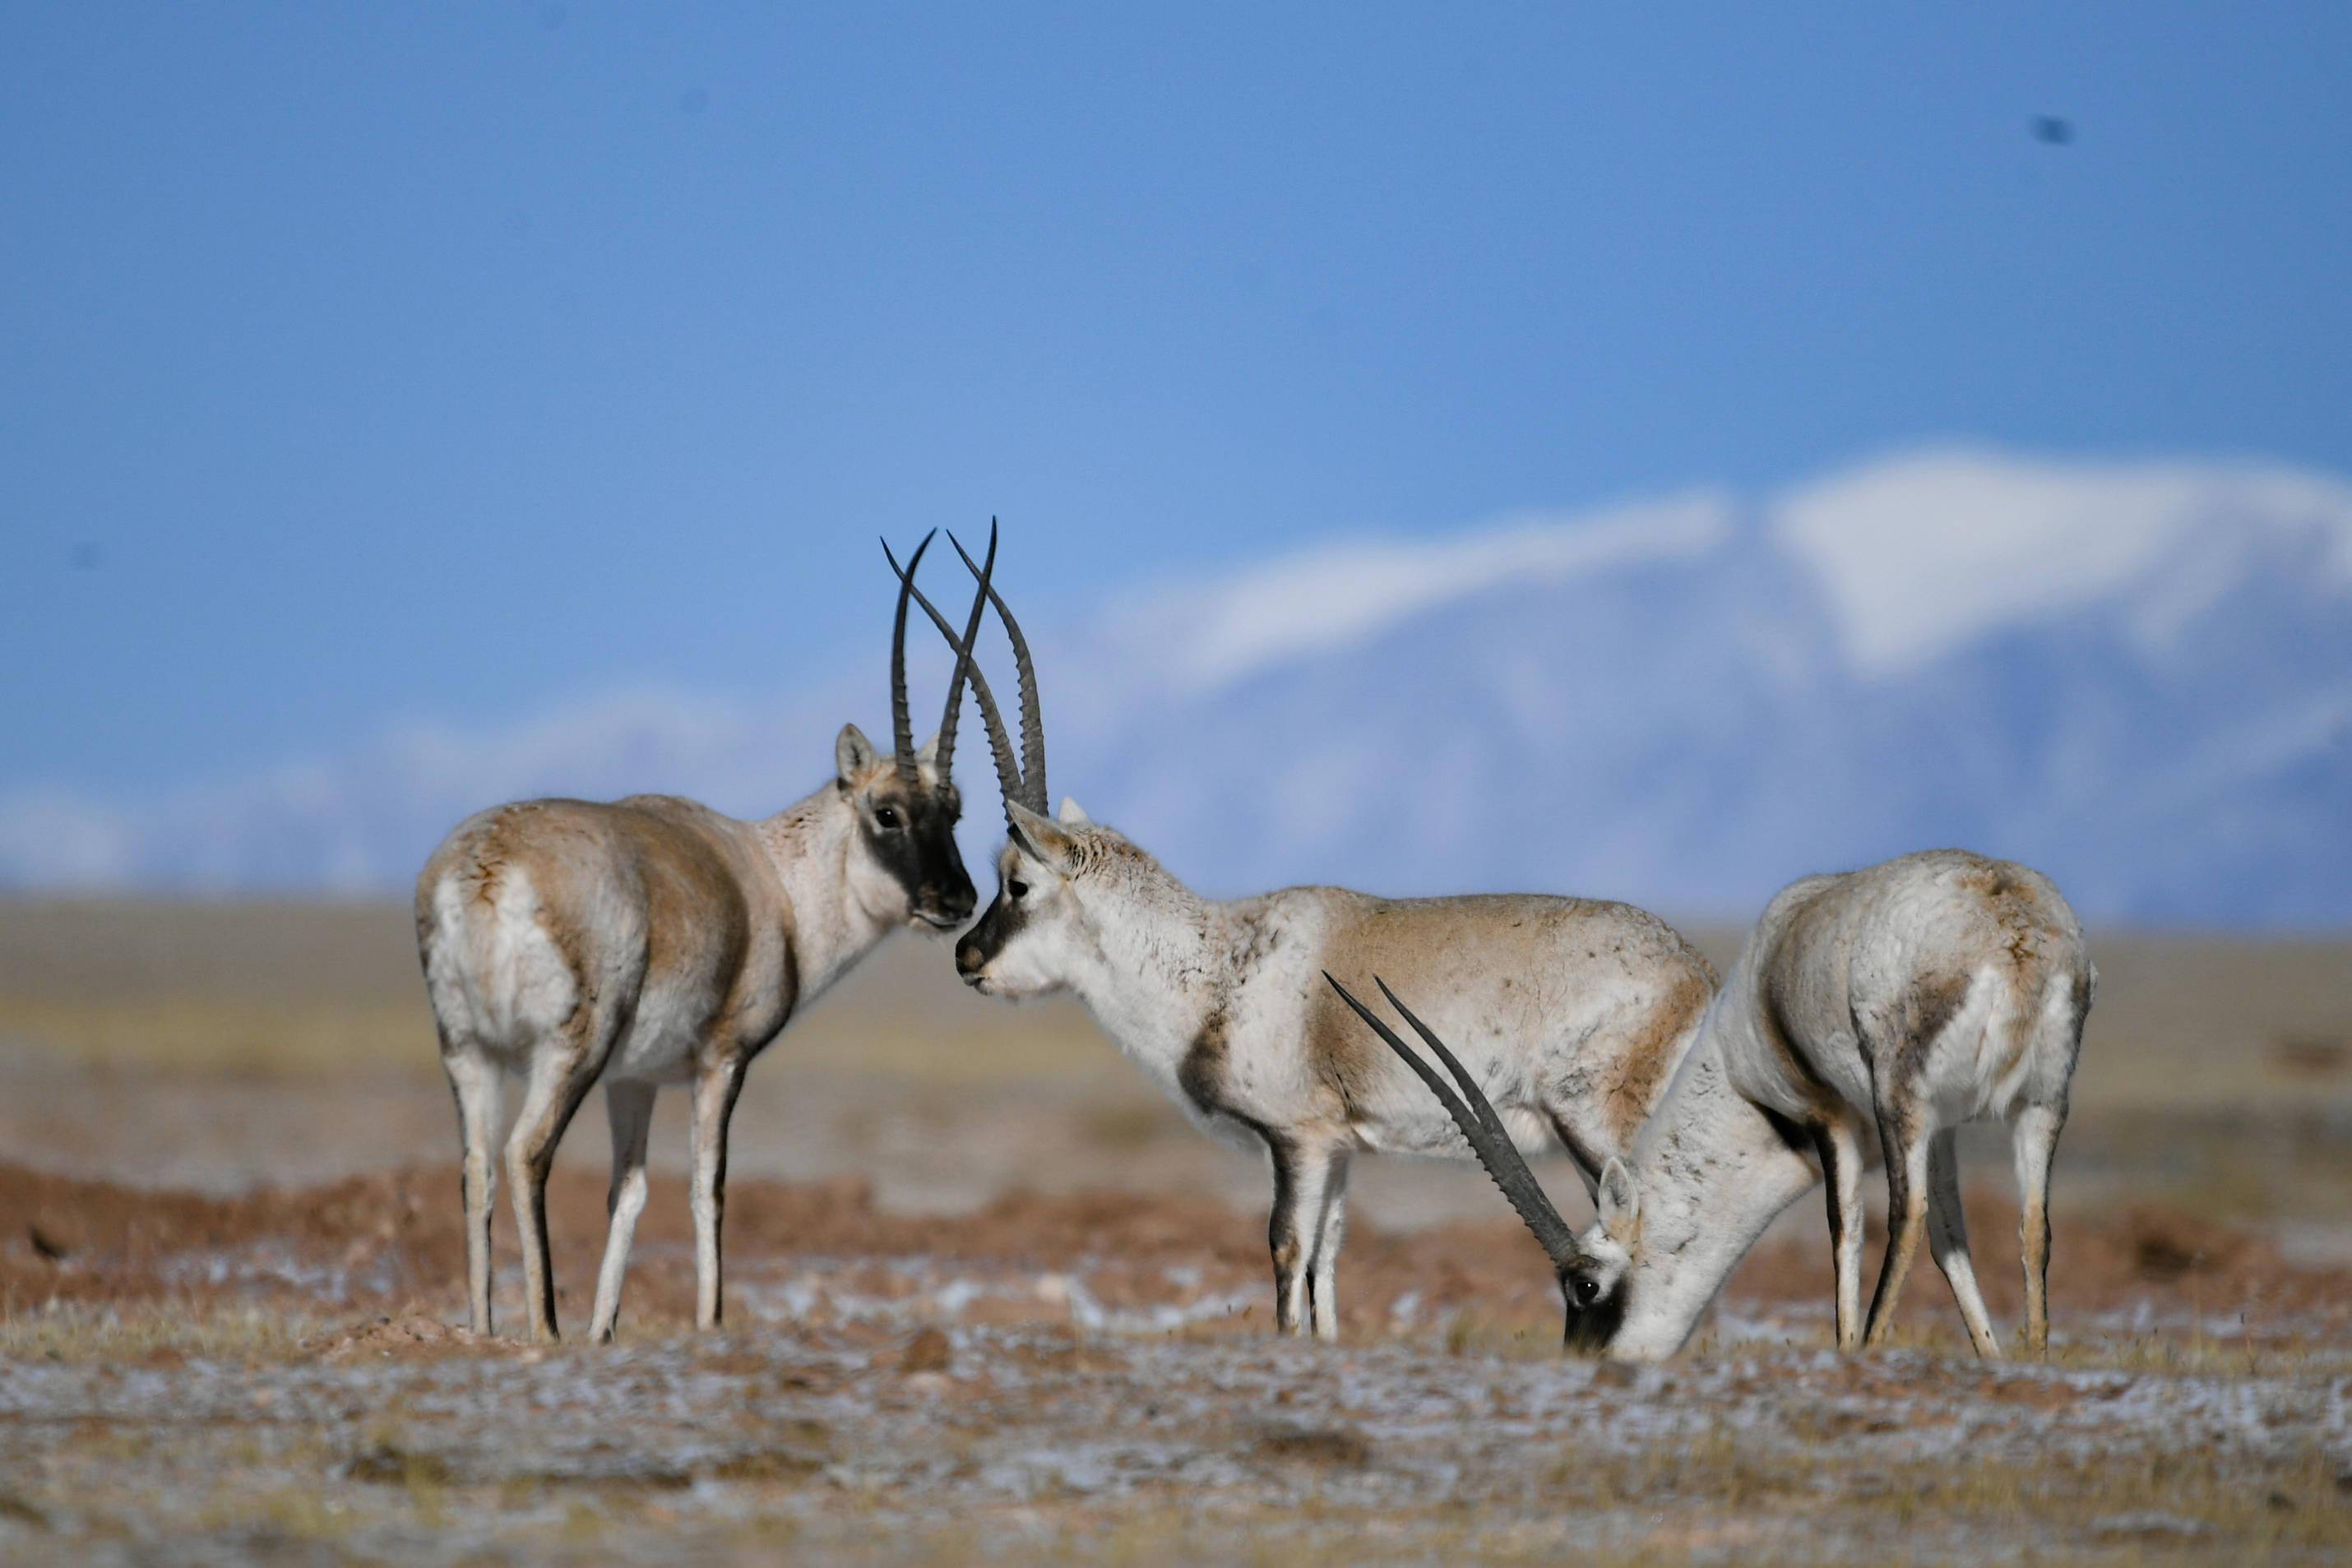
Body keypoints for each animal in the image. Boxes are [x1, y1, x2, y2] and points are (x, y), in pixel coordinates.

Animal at [419, 534, 997, 1344]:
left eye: (955, 810)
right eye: (886, 811)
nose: (959, 901)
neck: (774, 879)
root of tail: (488, 864)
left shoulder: (632, 1079)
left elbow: (628, 1192)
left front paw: (605, 1330)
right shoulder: (722, 1062)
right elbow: (707, 1186)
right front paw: (709, 1322)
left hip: (469, 1051)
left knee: (476, 1166)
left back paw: (483, 1328)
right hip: (566, 1052)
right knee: (526, 1153)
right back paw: (545, 1331)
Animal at [889, 535, 1721, 1334]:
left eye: (1018, 884)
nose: (966, 955)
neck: (1218, 965)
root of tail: (1700, 971)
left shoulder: (1298, 1139)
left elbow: (1289, 1252)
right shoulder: (1342, 1149)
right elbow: (1329, 1260)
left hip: (1595, 1126)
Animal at [1345, 850, 2098, 1353]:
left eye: (1584, 1286)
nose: (1586, 1363)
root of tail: (2011, 922)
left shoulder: (1828, 1118)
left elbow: (1846, 1228)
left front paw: (1849, 1352)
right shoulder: (1942, 1129)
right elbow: (1953, 1237)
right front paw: (1991, 1359)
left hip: (1900, 1098)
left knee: (1904, 1215)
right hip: (2040, 1103)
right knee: (2034, 1222)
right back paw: (2035, 1358)